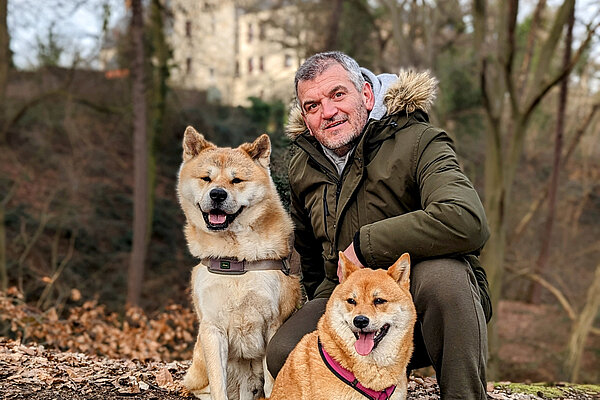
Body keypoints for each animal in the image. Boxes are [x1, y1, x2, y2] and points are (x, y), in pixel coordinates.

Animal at [177, 127, 300, 400]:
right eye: (206, 178)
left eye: (236, 180)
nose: (217, 194)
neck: (235, 260)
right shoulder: (213, 329)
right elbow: (218, 384)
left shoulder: (273, 324)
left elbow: (272, 384)